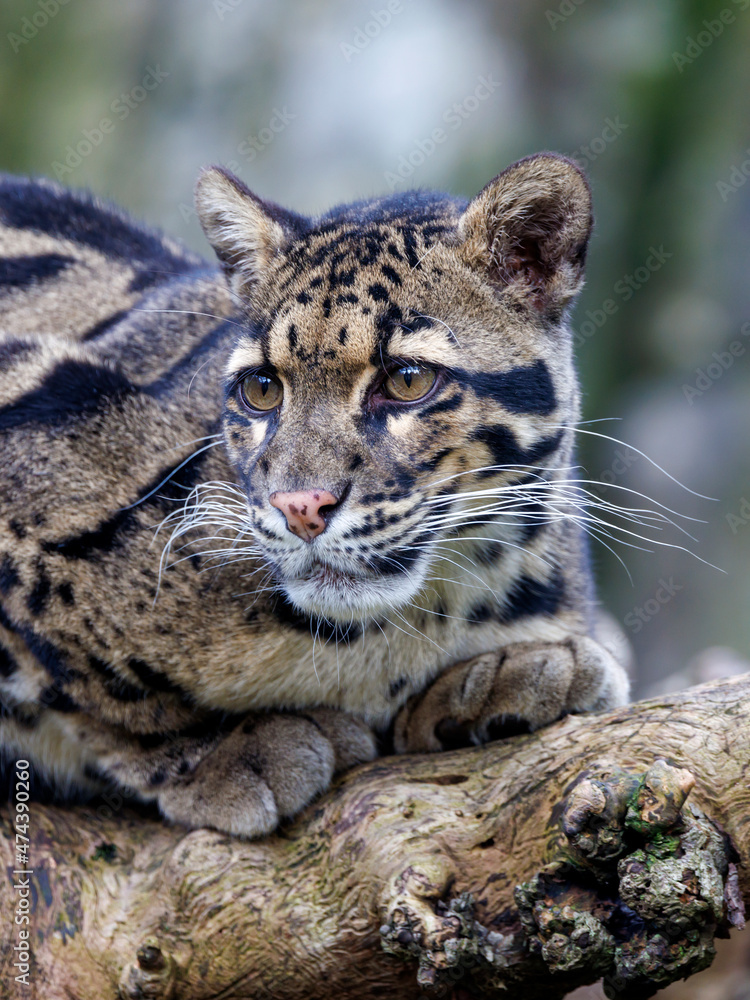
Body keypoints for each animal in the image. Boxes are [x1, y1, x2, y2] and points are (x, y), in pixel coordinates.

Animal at [0, 152, 629, 838]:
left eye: (408, 380)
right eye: (262, 389)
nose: (300, 507)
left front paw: (504, 678)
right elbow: (102, 689)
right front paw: (226, 751)